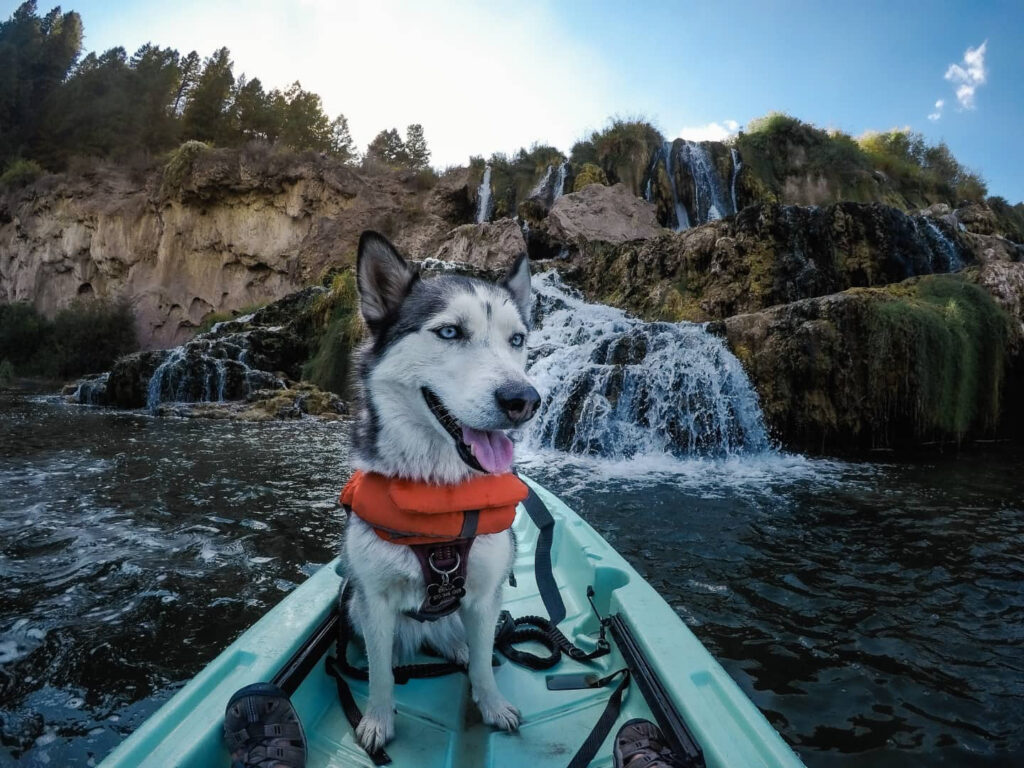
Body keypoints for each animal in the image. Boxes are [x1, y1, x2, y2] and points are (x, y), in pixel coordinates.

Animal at [339, 233, 540, 753]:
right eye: (450, 332)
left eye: (517, 340)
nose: (524, 400)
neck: (442, 489)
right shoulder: (374, 599)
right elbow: (380, 674)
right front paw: (378, 720)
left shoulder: (487, 594)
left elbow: (485, 663)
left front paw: (491, 705)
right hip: (354, 603)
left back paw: (461, 647)